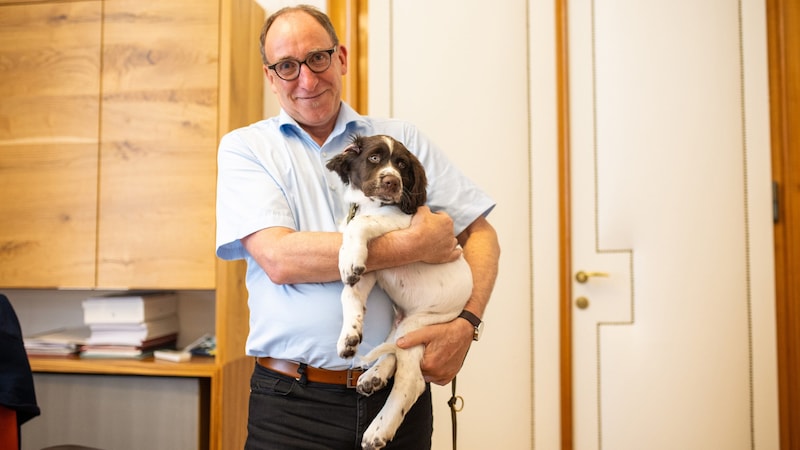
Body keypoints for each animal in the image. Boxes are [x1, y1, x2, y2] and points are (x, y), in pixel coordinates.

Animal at [326, 135, 472, 448]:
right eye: (373, 158)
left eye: (402, 164)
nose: (392, 182)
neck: (371, 205)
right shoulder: (371, 271)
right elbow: (349, 292)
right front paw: (349, 336)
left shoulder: (404, 224)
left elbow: (361, 223)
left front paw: (347, 257)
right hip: (404, 320)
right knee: (394, 346)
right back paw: (374, 375)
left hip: (423, 321)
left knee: (411, 380)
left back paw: (378, 430)